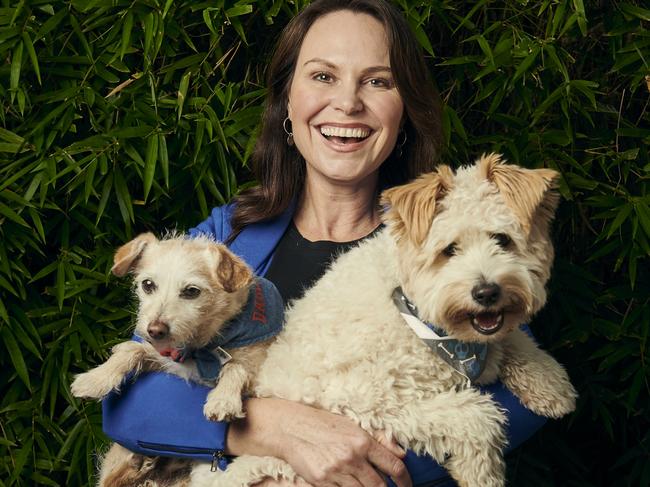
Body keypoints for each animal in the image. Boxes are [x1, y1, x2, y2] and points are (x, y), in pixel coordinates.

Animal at [72, 233, 282, 487]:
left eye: (191, 291)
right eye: (148, 285)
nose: (155, 330)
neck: (202, 346)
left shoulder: (255, 368)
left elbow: (235, 366)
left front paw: (223, 400)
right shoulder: (171, 360)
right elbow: (132, 348)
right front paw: (94, 379)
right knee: (113, 479)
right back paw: (139, 464)